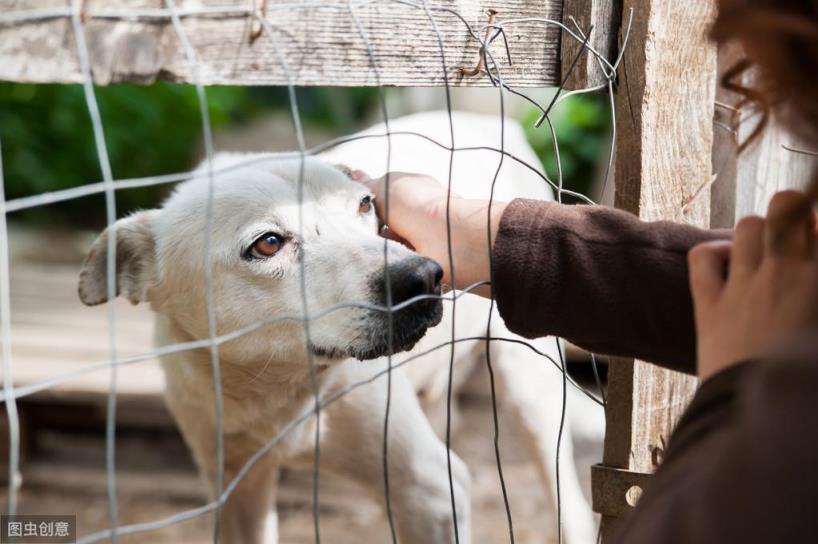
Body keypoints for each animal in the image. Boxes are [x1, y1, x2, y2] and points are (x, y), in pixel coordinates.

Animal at [79, 111, 596, 544]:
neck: (275, 390)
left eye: (366, 205)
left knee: (564, 494)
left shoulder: (429, 492)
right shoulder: (235, 490)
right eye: (268, 243)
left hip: (528, 391)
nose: (423, 277)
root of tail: (487, 118)